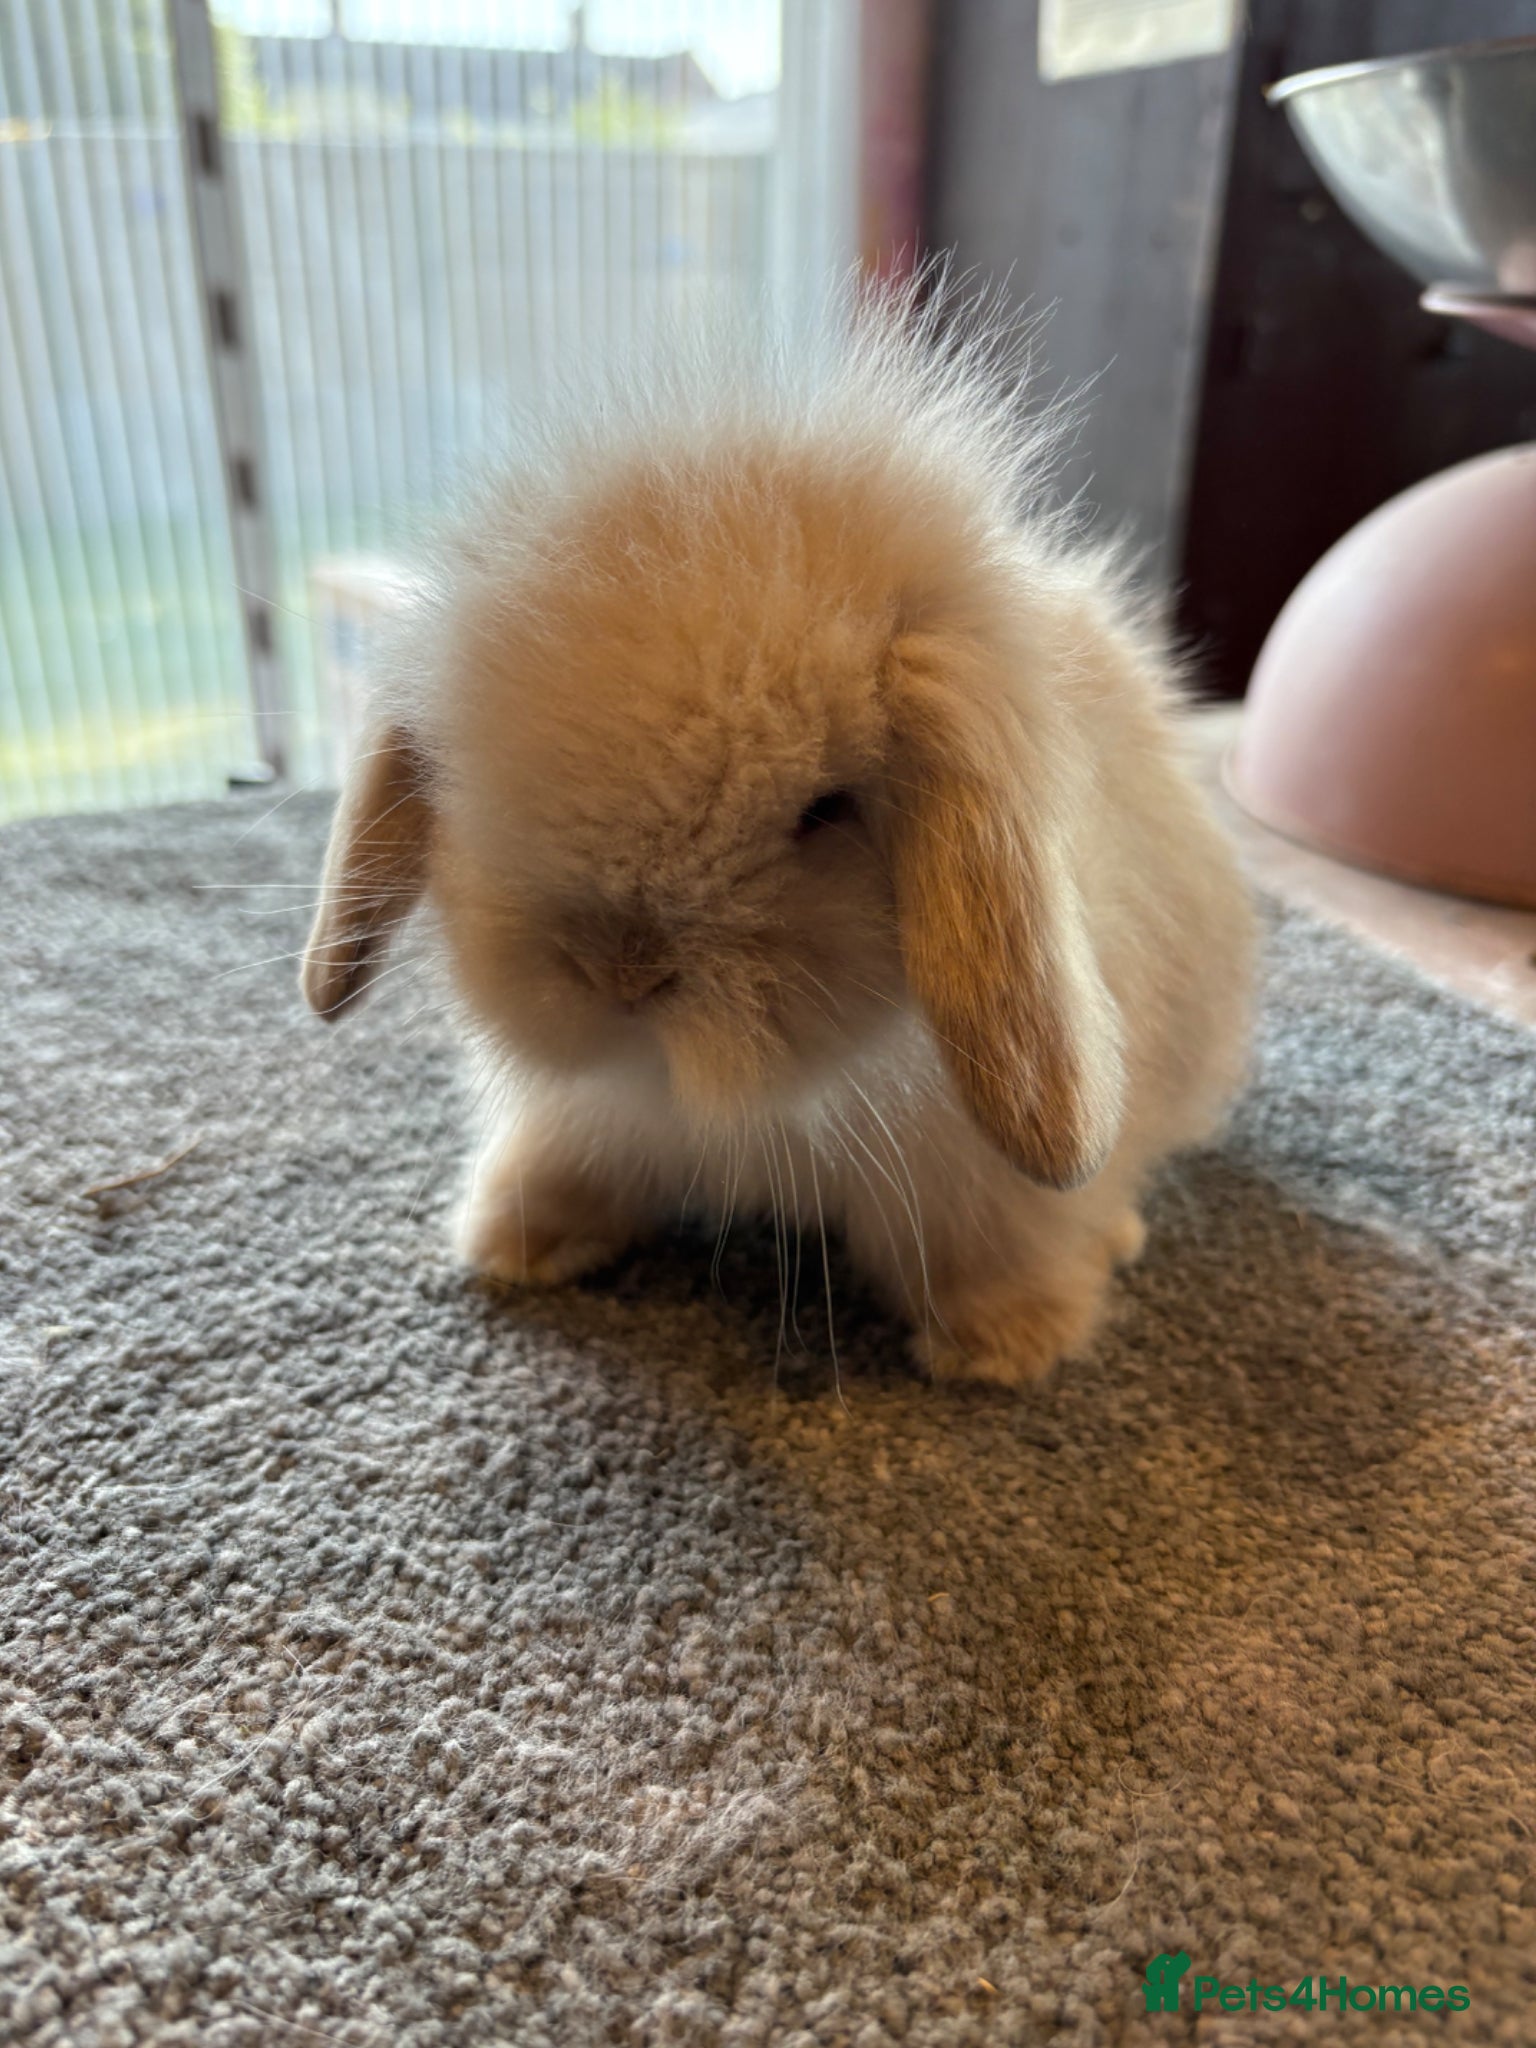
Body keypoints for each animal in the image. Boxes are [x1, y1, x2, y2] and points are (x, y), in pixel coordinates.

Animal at [301, 281, 1255, 1386]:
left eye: (827, 808)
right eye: (465, 771)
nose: (620, 973)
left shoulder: (978, 1185)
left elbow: (996, 1243)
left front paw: (1006, 1345)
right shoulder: (584, 1113)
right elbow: (567, 1162)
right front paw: (516, 1240)